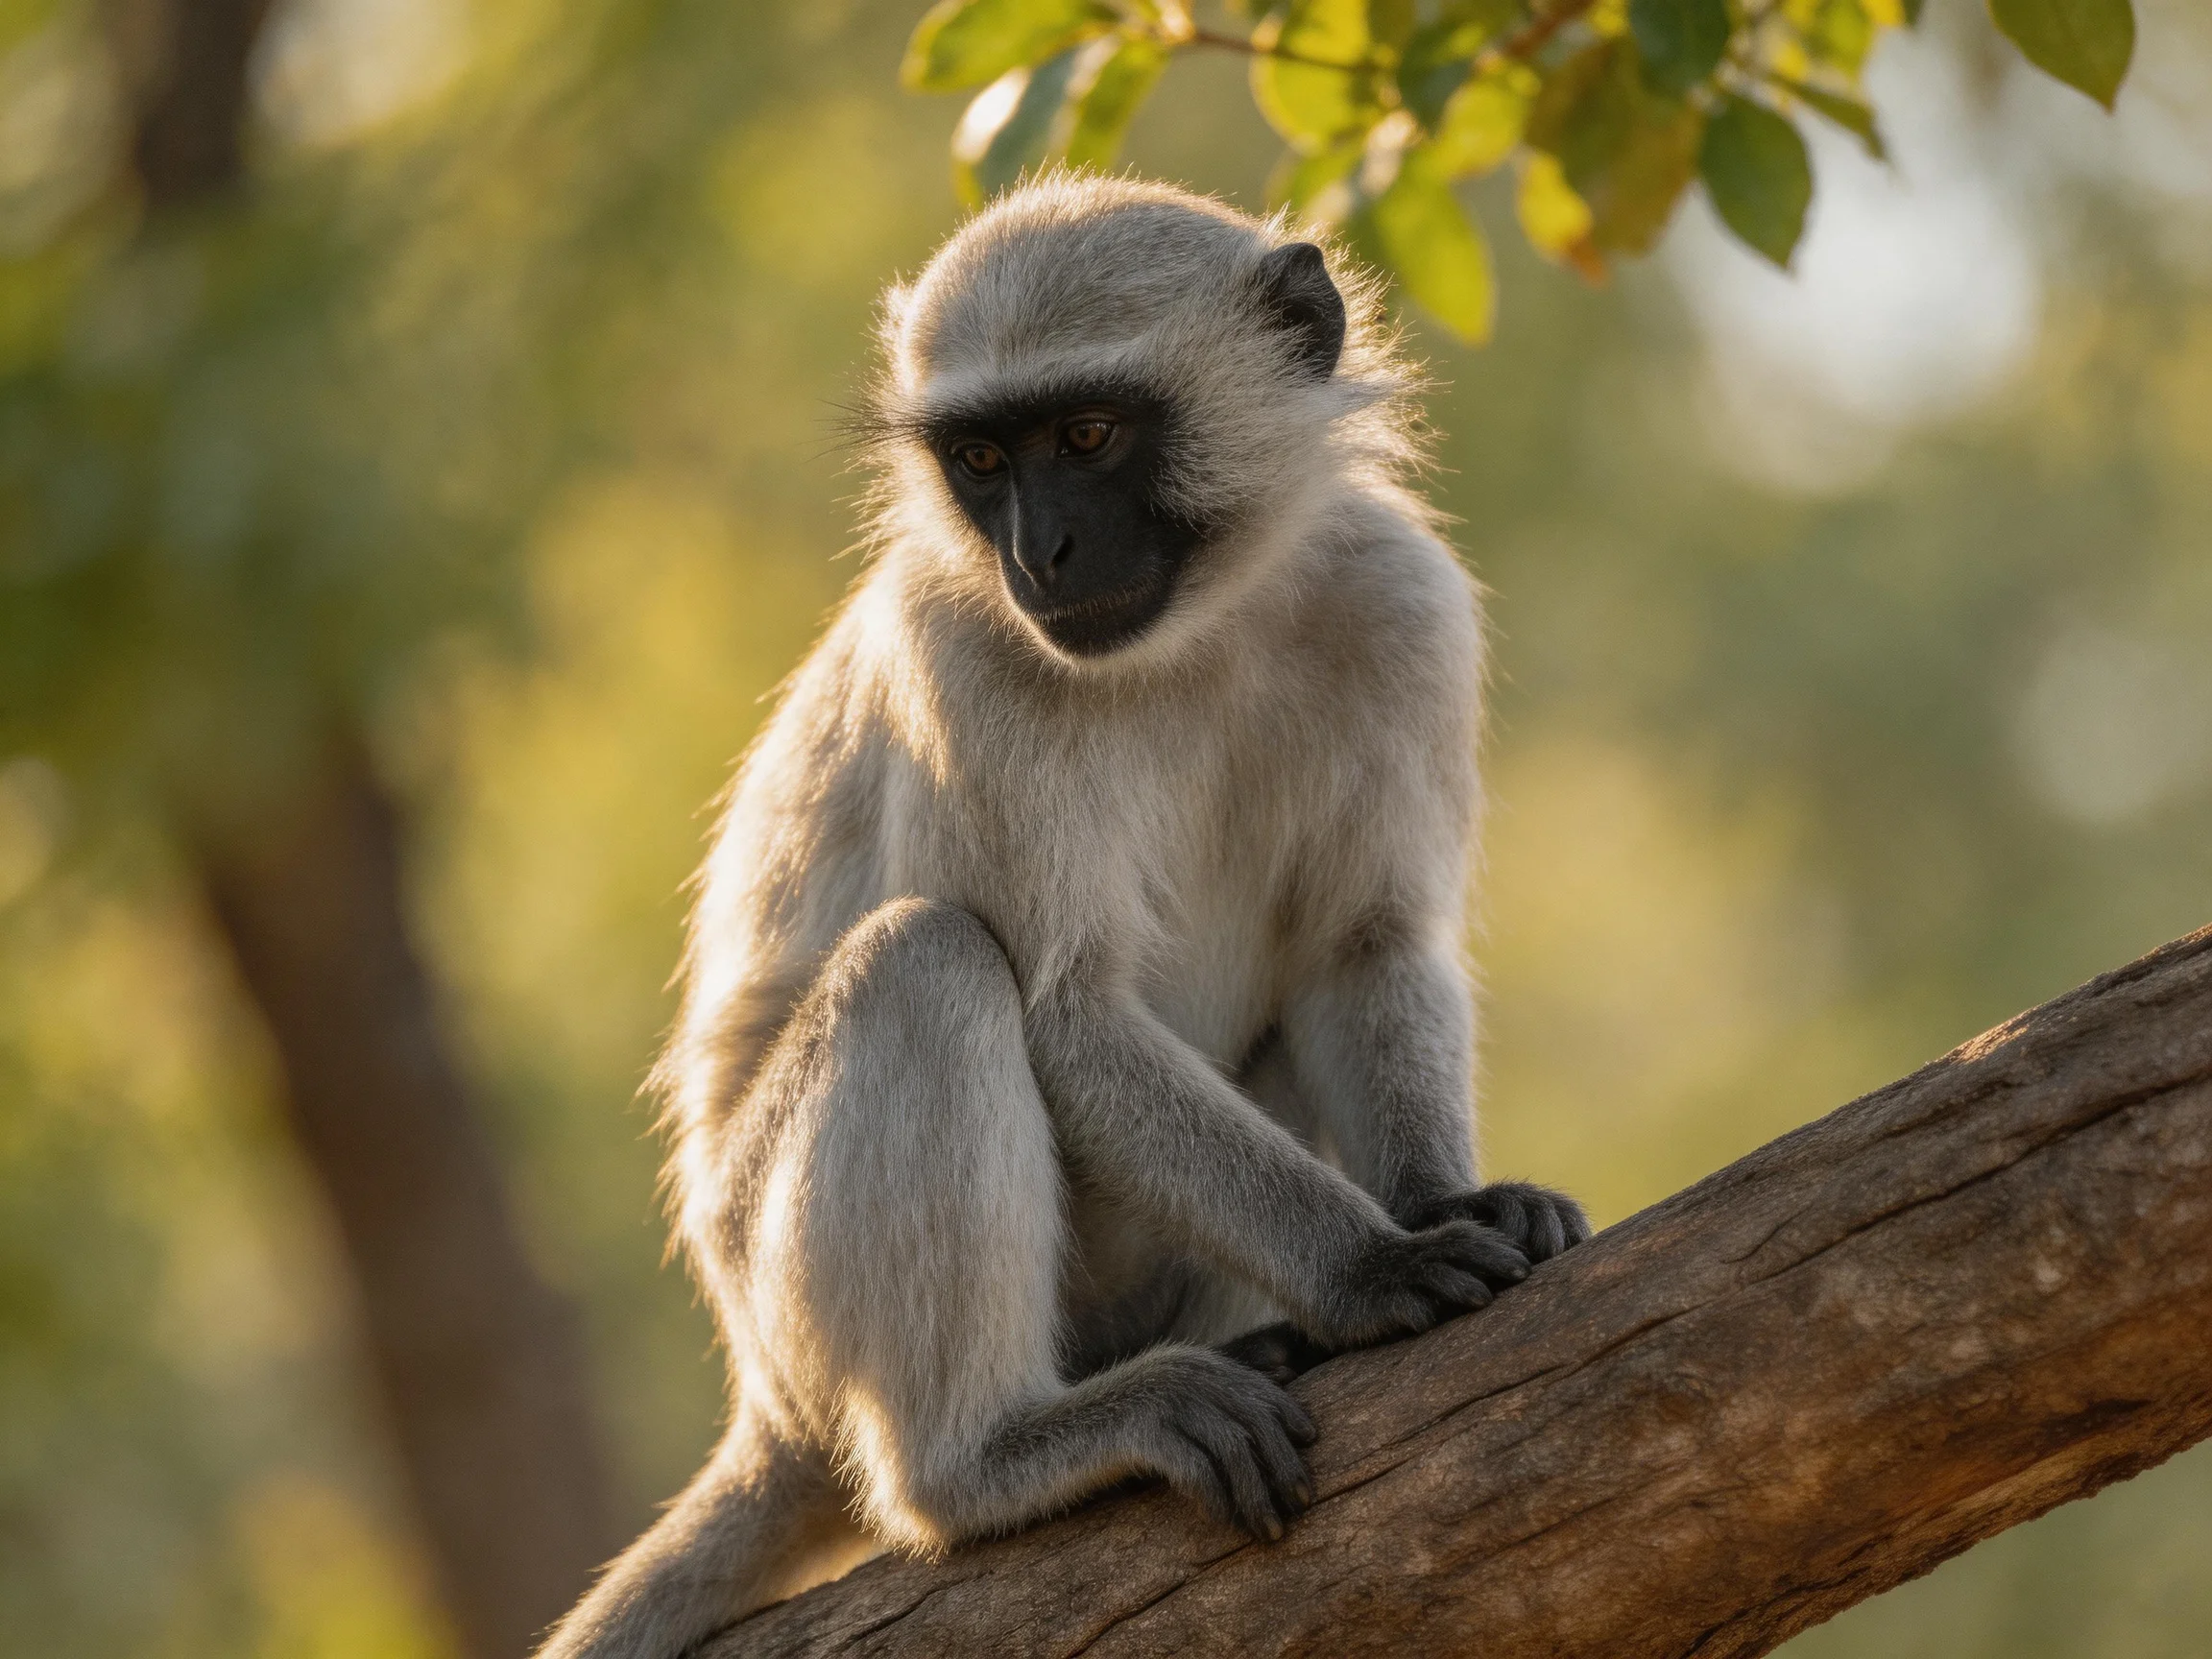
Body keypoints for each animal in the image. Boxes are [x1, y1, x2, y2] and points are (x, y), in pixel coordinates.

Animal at [538, 173, 1589, 1659]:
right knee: (926, 963)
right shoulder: (963, 649)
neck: (1201, 634)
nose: (1044, 551)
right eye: (982, 460)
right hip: (783, 1290)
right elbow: (1069, 1015)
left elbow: (1363, 948)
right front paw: (1374, 1266)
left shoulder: (1397, 596)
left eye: (1087, 436)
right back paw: (991, 1458)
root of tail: (769, 1407)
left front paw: (1456, 1200)